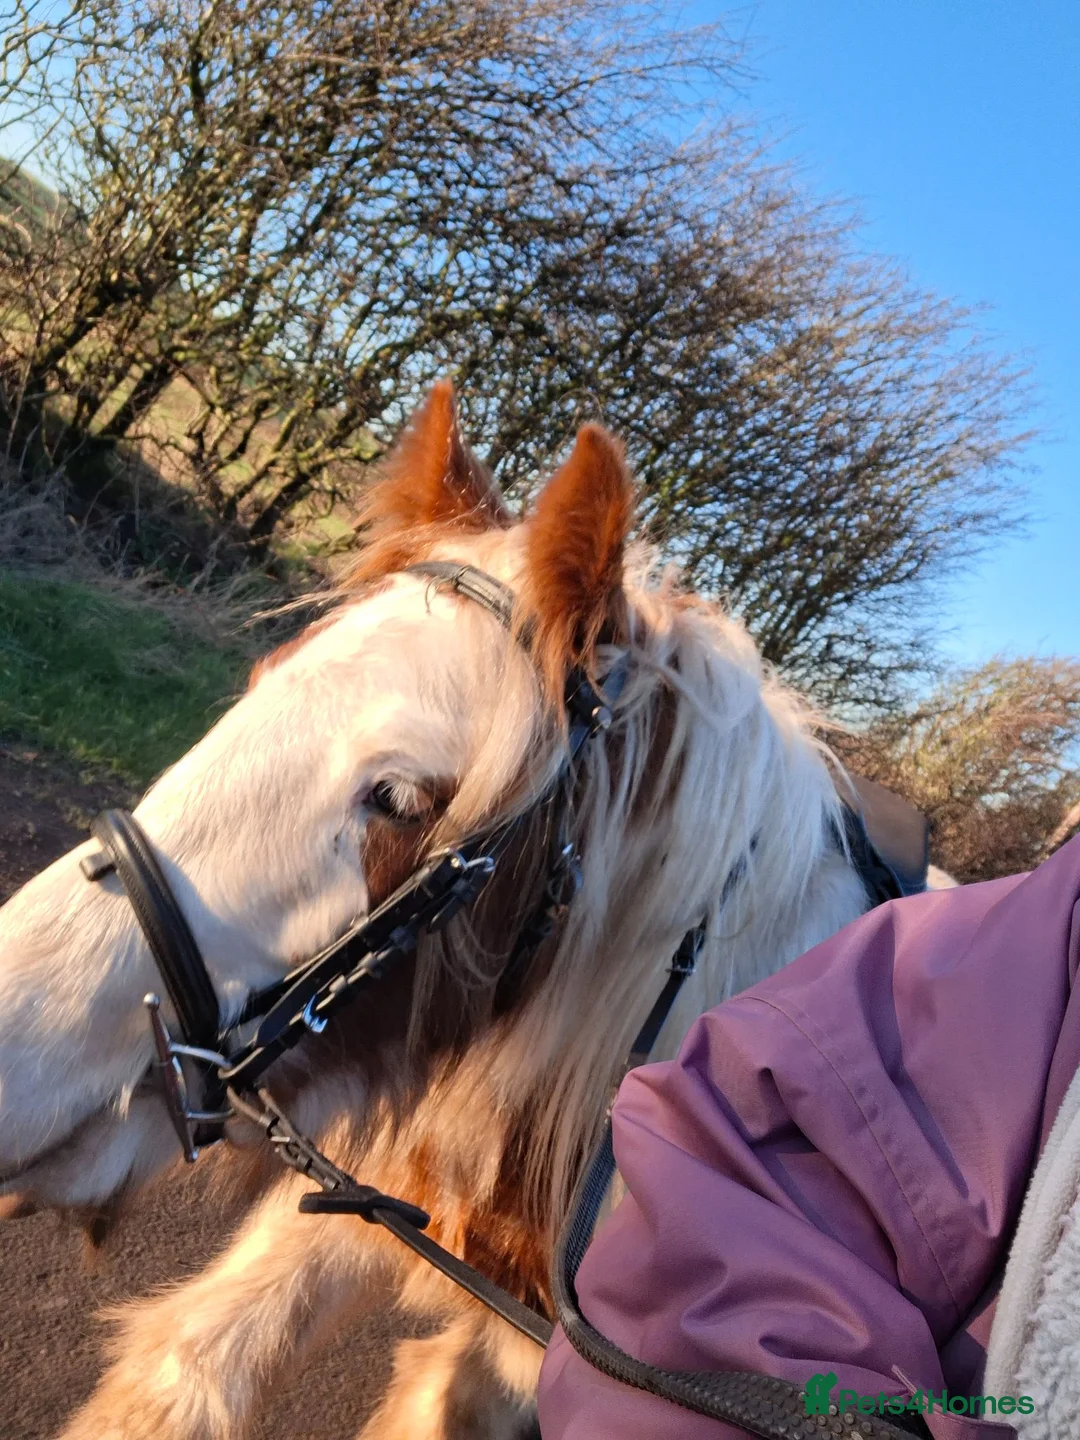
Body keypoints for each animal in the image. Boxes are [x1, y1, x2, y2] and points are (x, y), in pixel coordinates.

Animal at [0, 381, 896, 1439]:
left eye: (398, 798)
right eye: (259, 685)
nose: (14, 1046)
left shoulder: (520, 1367)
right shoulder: (362, 1205)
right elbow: (188, 1369)